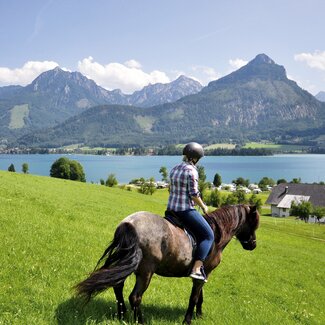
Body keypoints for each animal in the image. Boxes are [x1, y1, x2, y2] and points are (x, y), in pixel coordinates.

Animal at [75, 204, 258, 322]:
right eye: (254, 224)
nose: (253, 245)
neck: (216, 236)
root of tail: (129, 223)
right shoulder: (204, 272)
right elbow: (194, 297)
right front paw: (188, 319)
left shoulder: (203, 273)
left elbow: (200, 296)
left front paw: (199, 315)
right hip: (146, 271)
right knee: (135, 297)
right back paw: (140, 321)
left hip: (127, 262)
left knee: (118, 286)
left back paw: (122, 315)